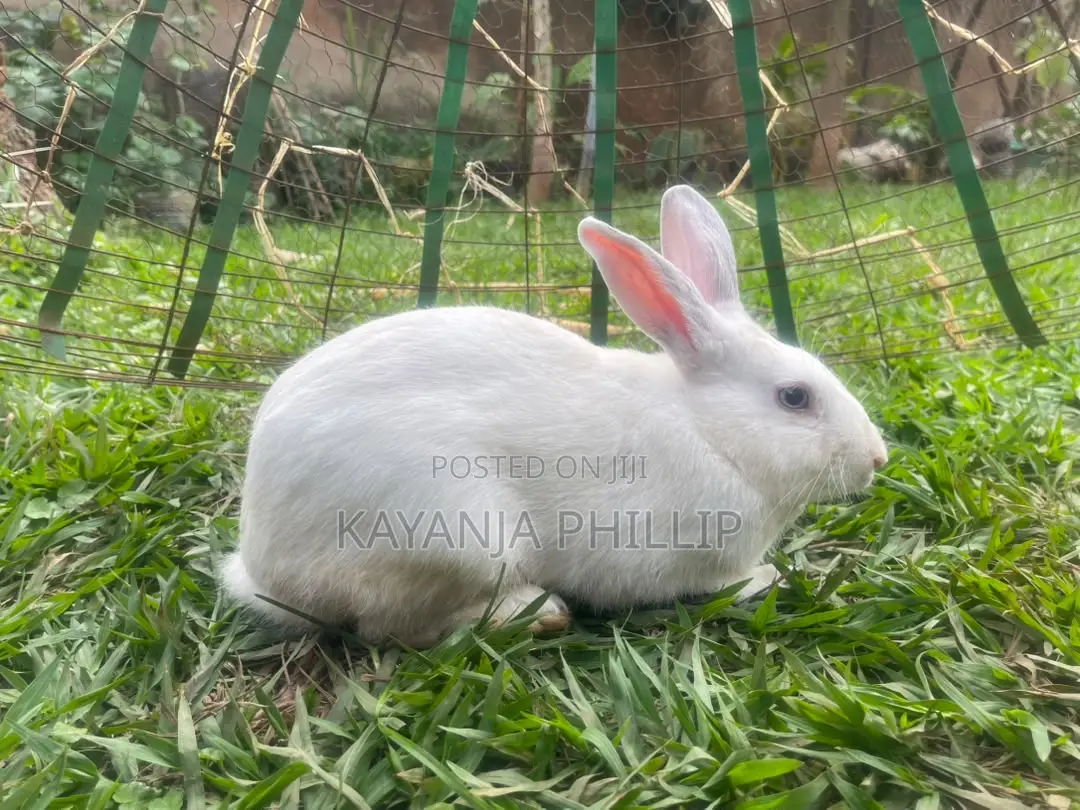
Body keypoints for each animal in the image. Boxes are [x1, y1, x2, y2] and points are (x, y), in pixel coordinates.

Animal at [221, 184, 888, 648]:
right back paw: (535, 613)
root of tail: (263, 569)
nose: (877, 458)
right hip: (455, 537)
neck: (710, 431)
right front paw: (763, 579)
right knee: (393, 628)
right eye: (794, 398)